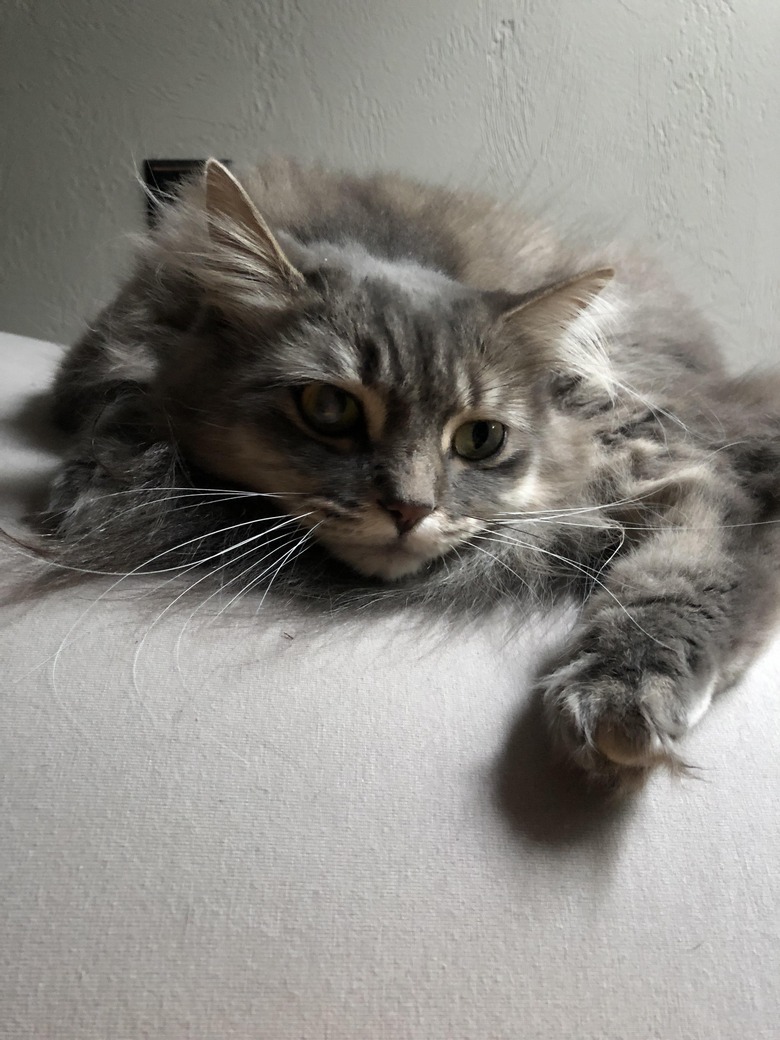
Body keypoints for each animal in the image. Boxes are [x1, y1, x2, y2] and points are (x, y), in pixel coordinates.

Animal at [44, 156, 780, 786]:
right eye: (329, 407)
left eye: (481, 438)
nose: (410, 509)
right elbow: (118, 422)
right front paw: (87, 491)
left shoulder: (665, 464)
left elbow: (682, 575)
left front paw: (624, 695)